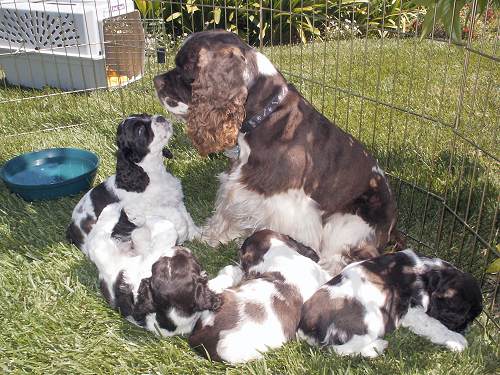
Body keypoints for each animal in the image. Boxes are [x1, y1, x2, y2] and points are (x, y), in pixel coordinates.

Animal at [67, 114, 200, 256]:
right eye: (140, 131)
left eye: (146, 115)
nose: (160, 117)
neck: (153, 173)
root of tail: (71, 229)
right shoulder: (145, 208)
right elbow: (177, 216)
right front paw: (183, 234)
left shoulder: (176, 199)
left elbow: (187, 217)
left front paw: (198, 236)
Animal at [88, 204, 221, 336]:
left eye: (165, 263)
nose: (180, 248)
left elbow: (164, 228)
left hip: (100, 247)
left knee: (102, 228)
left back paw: (116, 209)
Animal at [154, 30, 400, 274]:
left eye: (187, 68)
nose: (156, 81)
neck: (266, 116)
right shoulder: (238, 186)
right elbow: (225, 214)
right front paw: (211, 237)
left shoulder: (291, 205)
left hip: (349, 221)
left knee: (341, 257)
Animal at [298, 250, 482, 358]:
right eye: (460, 319)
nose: (466, 329)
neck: (431, 275)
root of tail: (307, 327)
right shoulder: (414, 312)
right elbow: (436, 326)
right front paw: (457, 340)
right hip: (373, 319)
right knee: (340, 349)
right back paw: (379, 346)